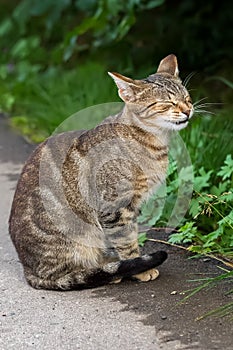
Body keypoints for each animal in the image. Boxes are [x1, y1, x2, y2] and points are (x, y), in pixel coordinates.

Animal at [8, 54, 193, 290]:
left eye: (187, 97)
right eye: (167, 103)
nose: (188, 110)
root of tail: (29, 271)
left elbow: (127, 236)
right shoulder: (116, 208)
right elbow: (126, 240)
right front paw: (141, 268)